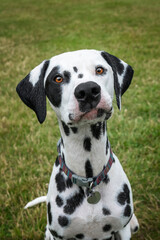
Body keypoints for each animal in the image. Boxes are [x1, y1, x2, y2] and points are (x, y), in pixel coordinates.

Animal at [15, 49, 139, 239]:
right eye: (58, 78)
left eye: (100, 70)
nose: (87, 90)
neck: (89, 180)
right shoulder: (59, 235)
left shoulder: (122, 228)